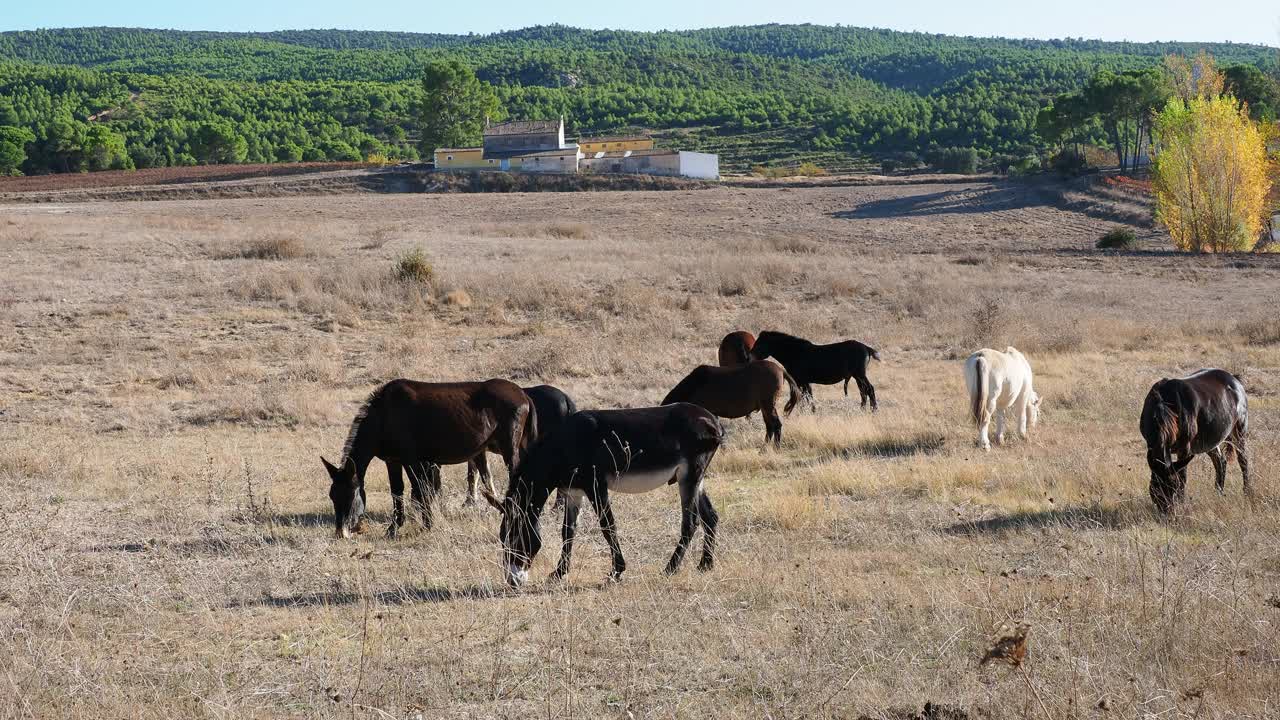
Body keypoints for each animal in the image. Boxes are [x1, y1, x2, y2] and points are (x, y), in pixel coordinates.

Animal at [325, 379, 540, 535]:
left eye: (350, 496)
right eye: (332, 496)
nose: (340, 532)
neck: (383, 416)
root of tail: (522, 394)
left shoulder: (412, 461)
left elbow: (421, 491)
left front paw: (427, 525)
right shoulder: (393, 461)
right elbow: (397, 492)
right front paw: (394, 528)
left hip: (509, 447)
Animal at [481, 399, 727, 586]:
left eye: (514, 536)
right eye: (503, 538)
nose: (512, 581)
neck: (565, 445)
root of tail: (712, 420)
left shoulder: (596, 486)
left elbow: (608, 526)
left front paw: (616, 572)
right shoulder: (573, 491)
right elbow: (567, 531)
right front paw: (559, 573)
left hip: (689, 475)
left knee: (691, 522)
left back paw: (670, 568)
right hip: (696, 478)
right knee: (710, 517)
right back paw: (705, 564)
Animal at [660, 361, 798, 445]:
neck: (695, 385)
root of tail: (781, 370)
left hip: (768, 405)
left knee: (776, 425)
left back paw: (775, 448)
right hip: (766, 407)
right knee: (770, 427)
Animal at [747, 330, 880, 409]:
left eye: (760, 344)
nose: (749, 357)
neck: (794, 353)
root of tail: (866, 348)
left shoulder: (801, 381)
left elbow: (806, 397)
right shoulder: (804, 382)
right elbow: (807, 397)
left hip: (860, 374)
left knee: (869, 389)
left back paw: (874, 410)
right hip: (857, 376)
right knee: (863, 392)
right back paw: (864, 409)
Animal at [1141, 368, 1249, 509]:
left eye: (1174, 489)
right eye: (1156, 489)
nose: (1168, 512)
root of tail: (1234, 378)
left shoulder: (1184, 449)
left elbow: (1183, 477)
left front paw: (1182, 502)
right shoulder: (1151, 445)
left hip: (1240, 431)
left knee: (1243, 461)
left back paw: (1247, 492)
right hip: (1210, 441)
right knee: (1220, 461)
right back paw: (1218, 493)